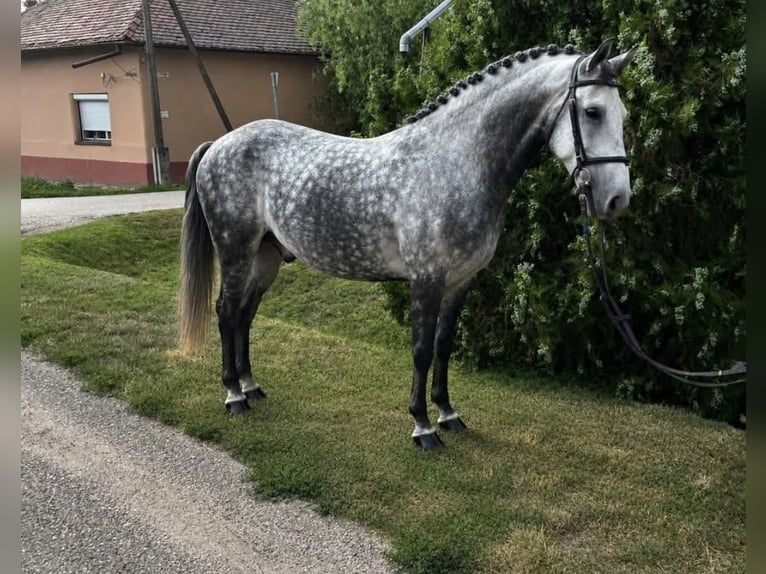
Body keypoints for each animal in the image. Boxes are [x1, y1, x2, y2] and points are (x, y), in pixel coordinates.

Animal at [178, 39, 638, 449]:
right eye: (593, 111)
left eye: (623, 114)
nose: (617, 200)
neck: (454, 162)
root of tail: (219, 144)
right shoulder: (427, 279)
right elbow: (420, 350)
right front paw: (423, 426)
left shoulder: (459, 281)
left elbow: (444, 346)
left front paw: (448, 414)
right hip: (235, 251)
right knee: (226, 313)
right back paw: (233, 396)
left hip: (266, 257)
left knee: (244, 316)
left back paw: (250, 386)